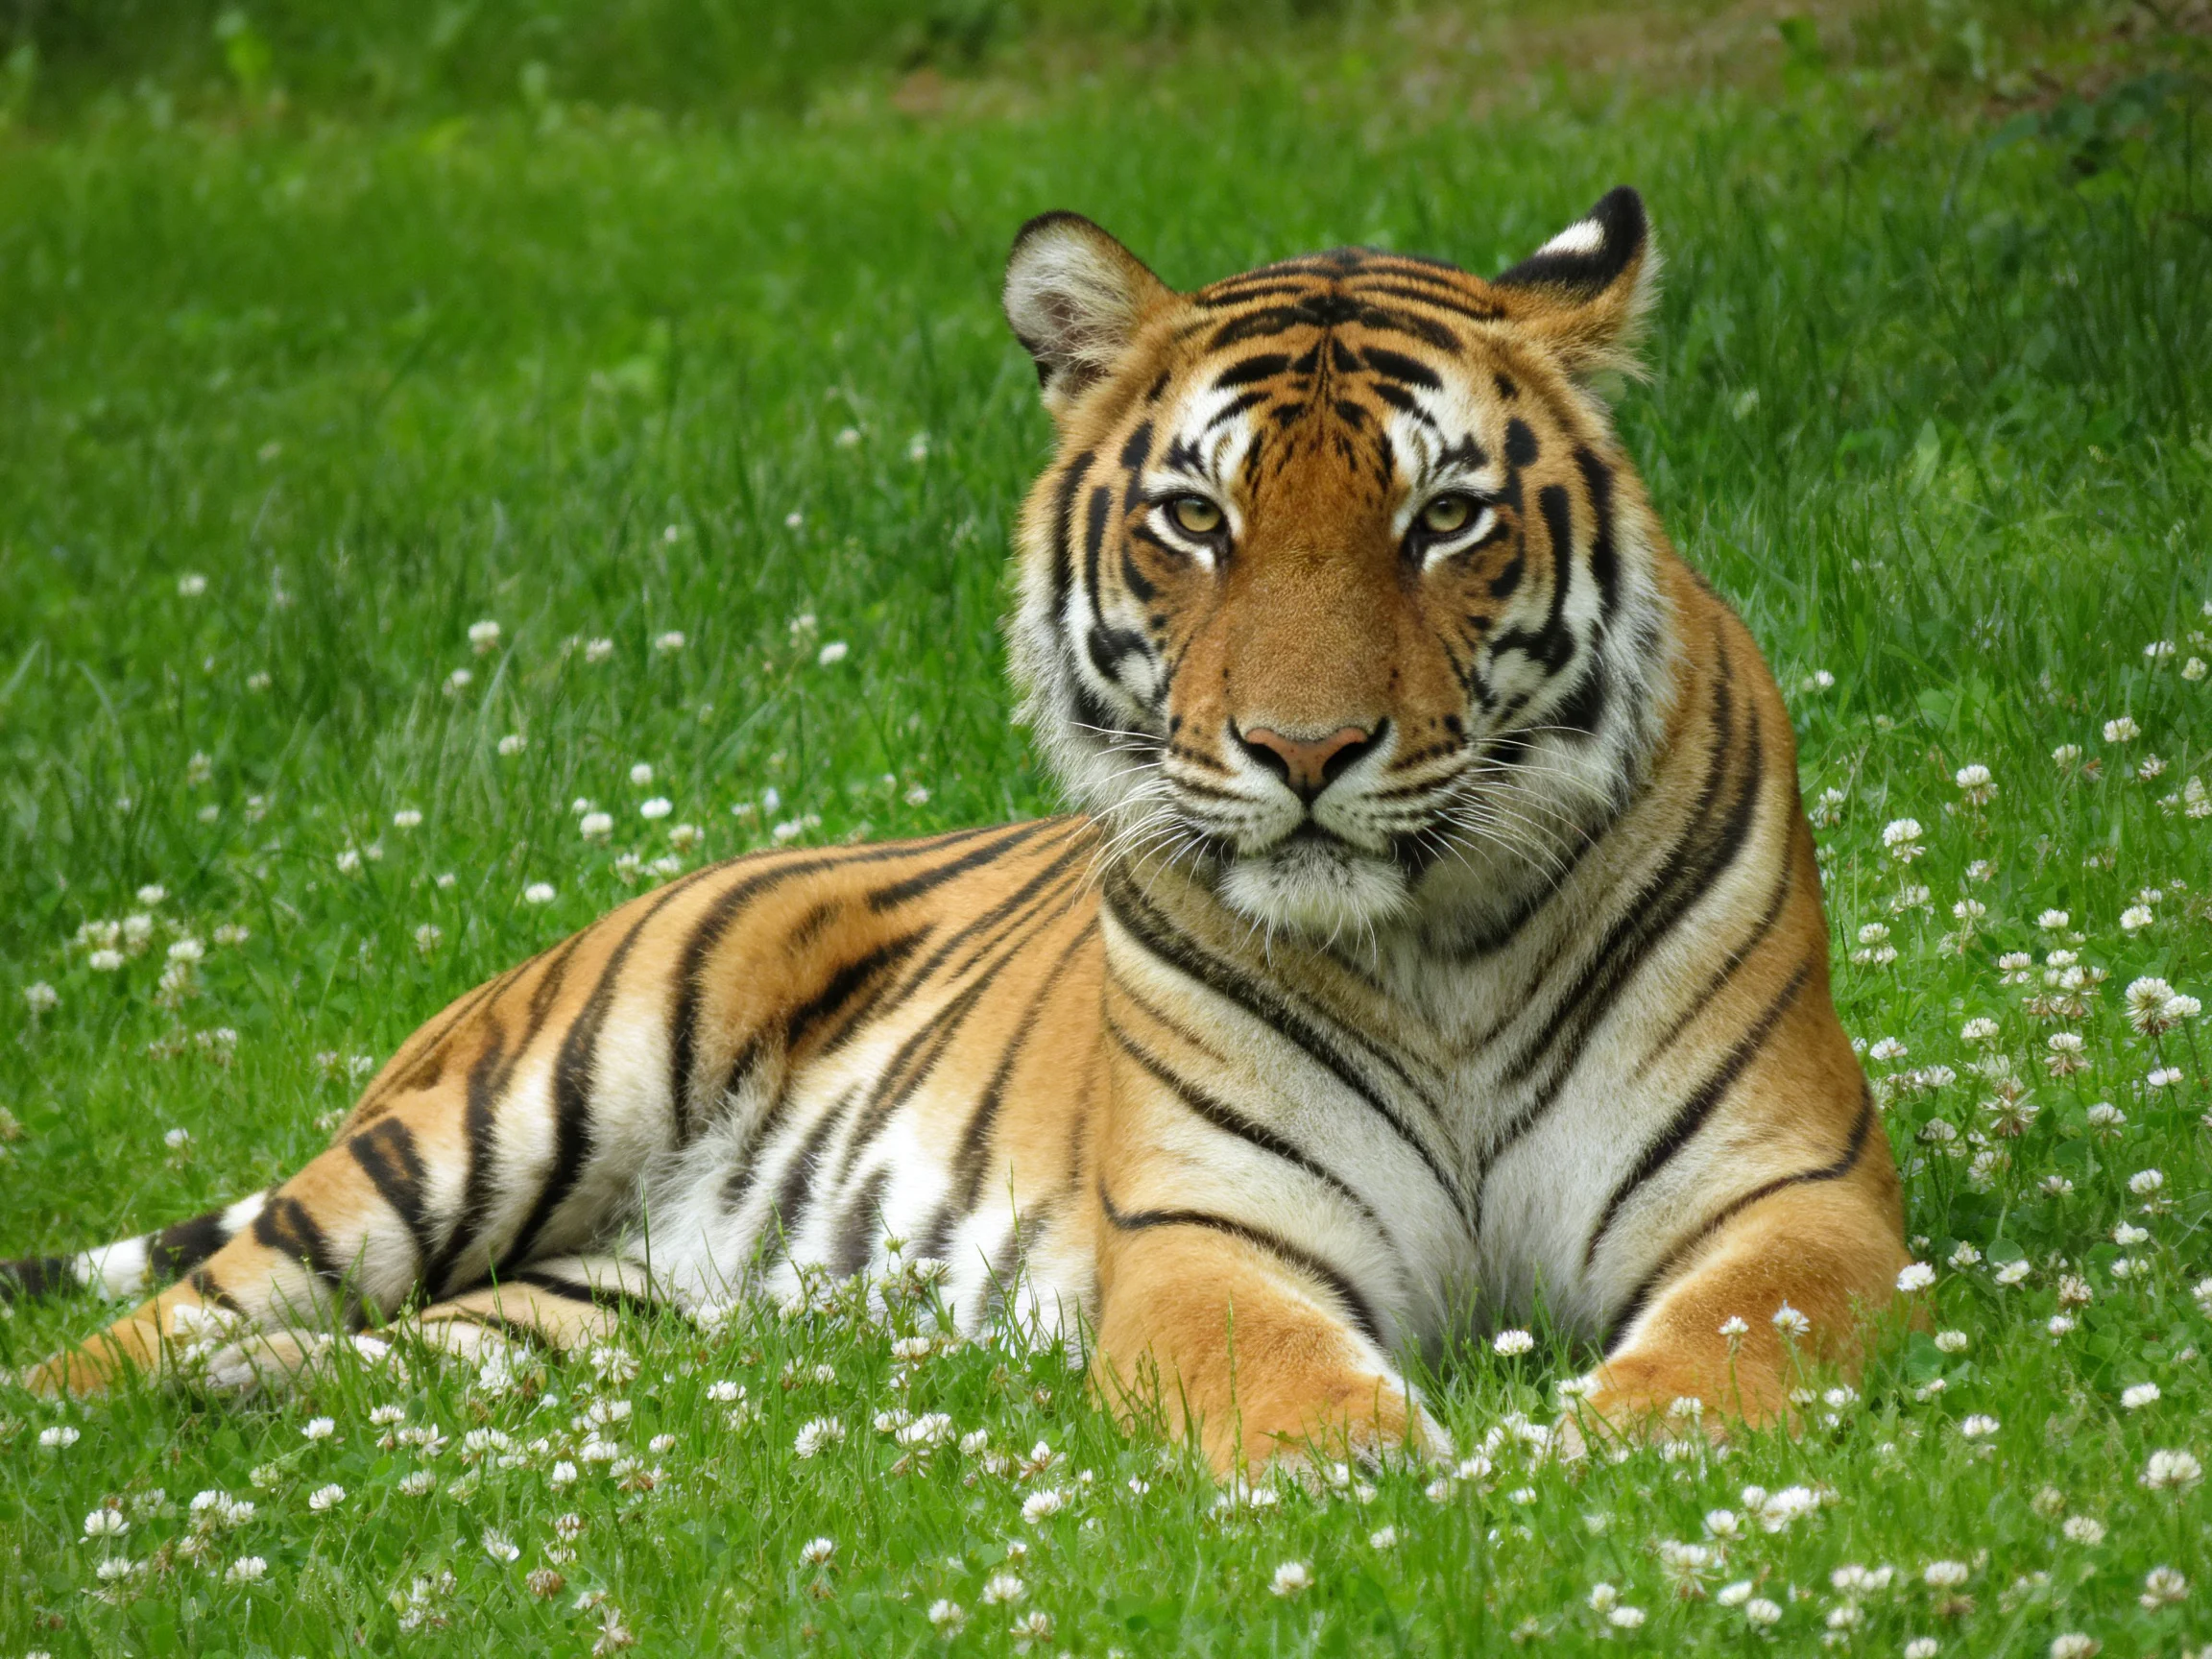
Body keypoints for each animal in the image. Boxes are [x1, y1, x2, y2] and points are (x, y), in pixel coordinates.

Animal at [7, 187, 1908, 1472]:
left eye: (1442, 518)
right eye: (1195, 519)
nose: (1302, 750)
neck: (1430, 939)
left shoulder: (1795, 1193)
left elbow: (1744, 1343)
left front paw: (1611, 1451)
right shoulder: (1216, 1235)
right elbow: (1280, 1384)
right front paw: (1375, 1477)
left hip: (587, 1313)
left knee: (386, 1350)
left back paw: (253, 1406)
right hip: (501, 1115)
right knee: (150, 1328)